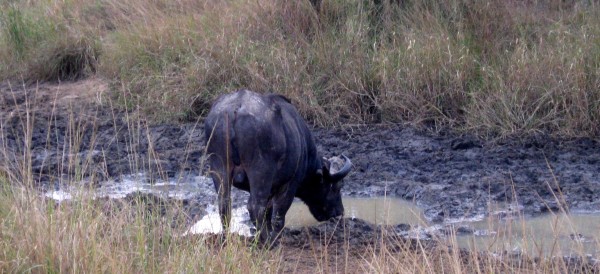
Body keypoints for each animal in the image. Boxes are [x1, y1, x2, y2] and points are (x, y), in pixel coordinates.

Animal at [205, 89, 352, 246]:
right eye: (337, 187)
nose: (339, 212)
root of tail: (237, 108)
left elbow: (269, 212)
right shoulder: (290, 184)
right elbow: (278, 214)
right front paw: (275, 236)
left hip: (219, 167)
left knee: (224, 204)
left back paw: (227, 238)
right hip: (260, 172)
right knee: (255, 206)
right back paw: (267, 241)